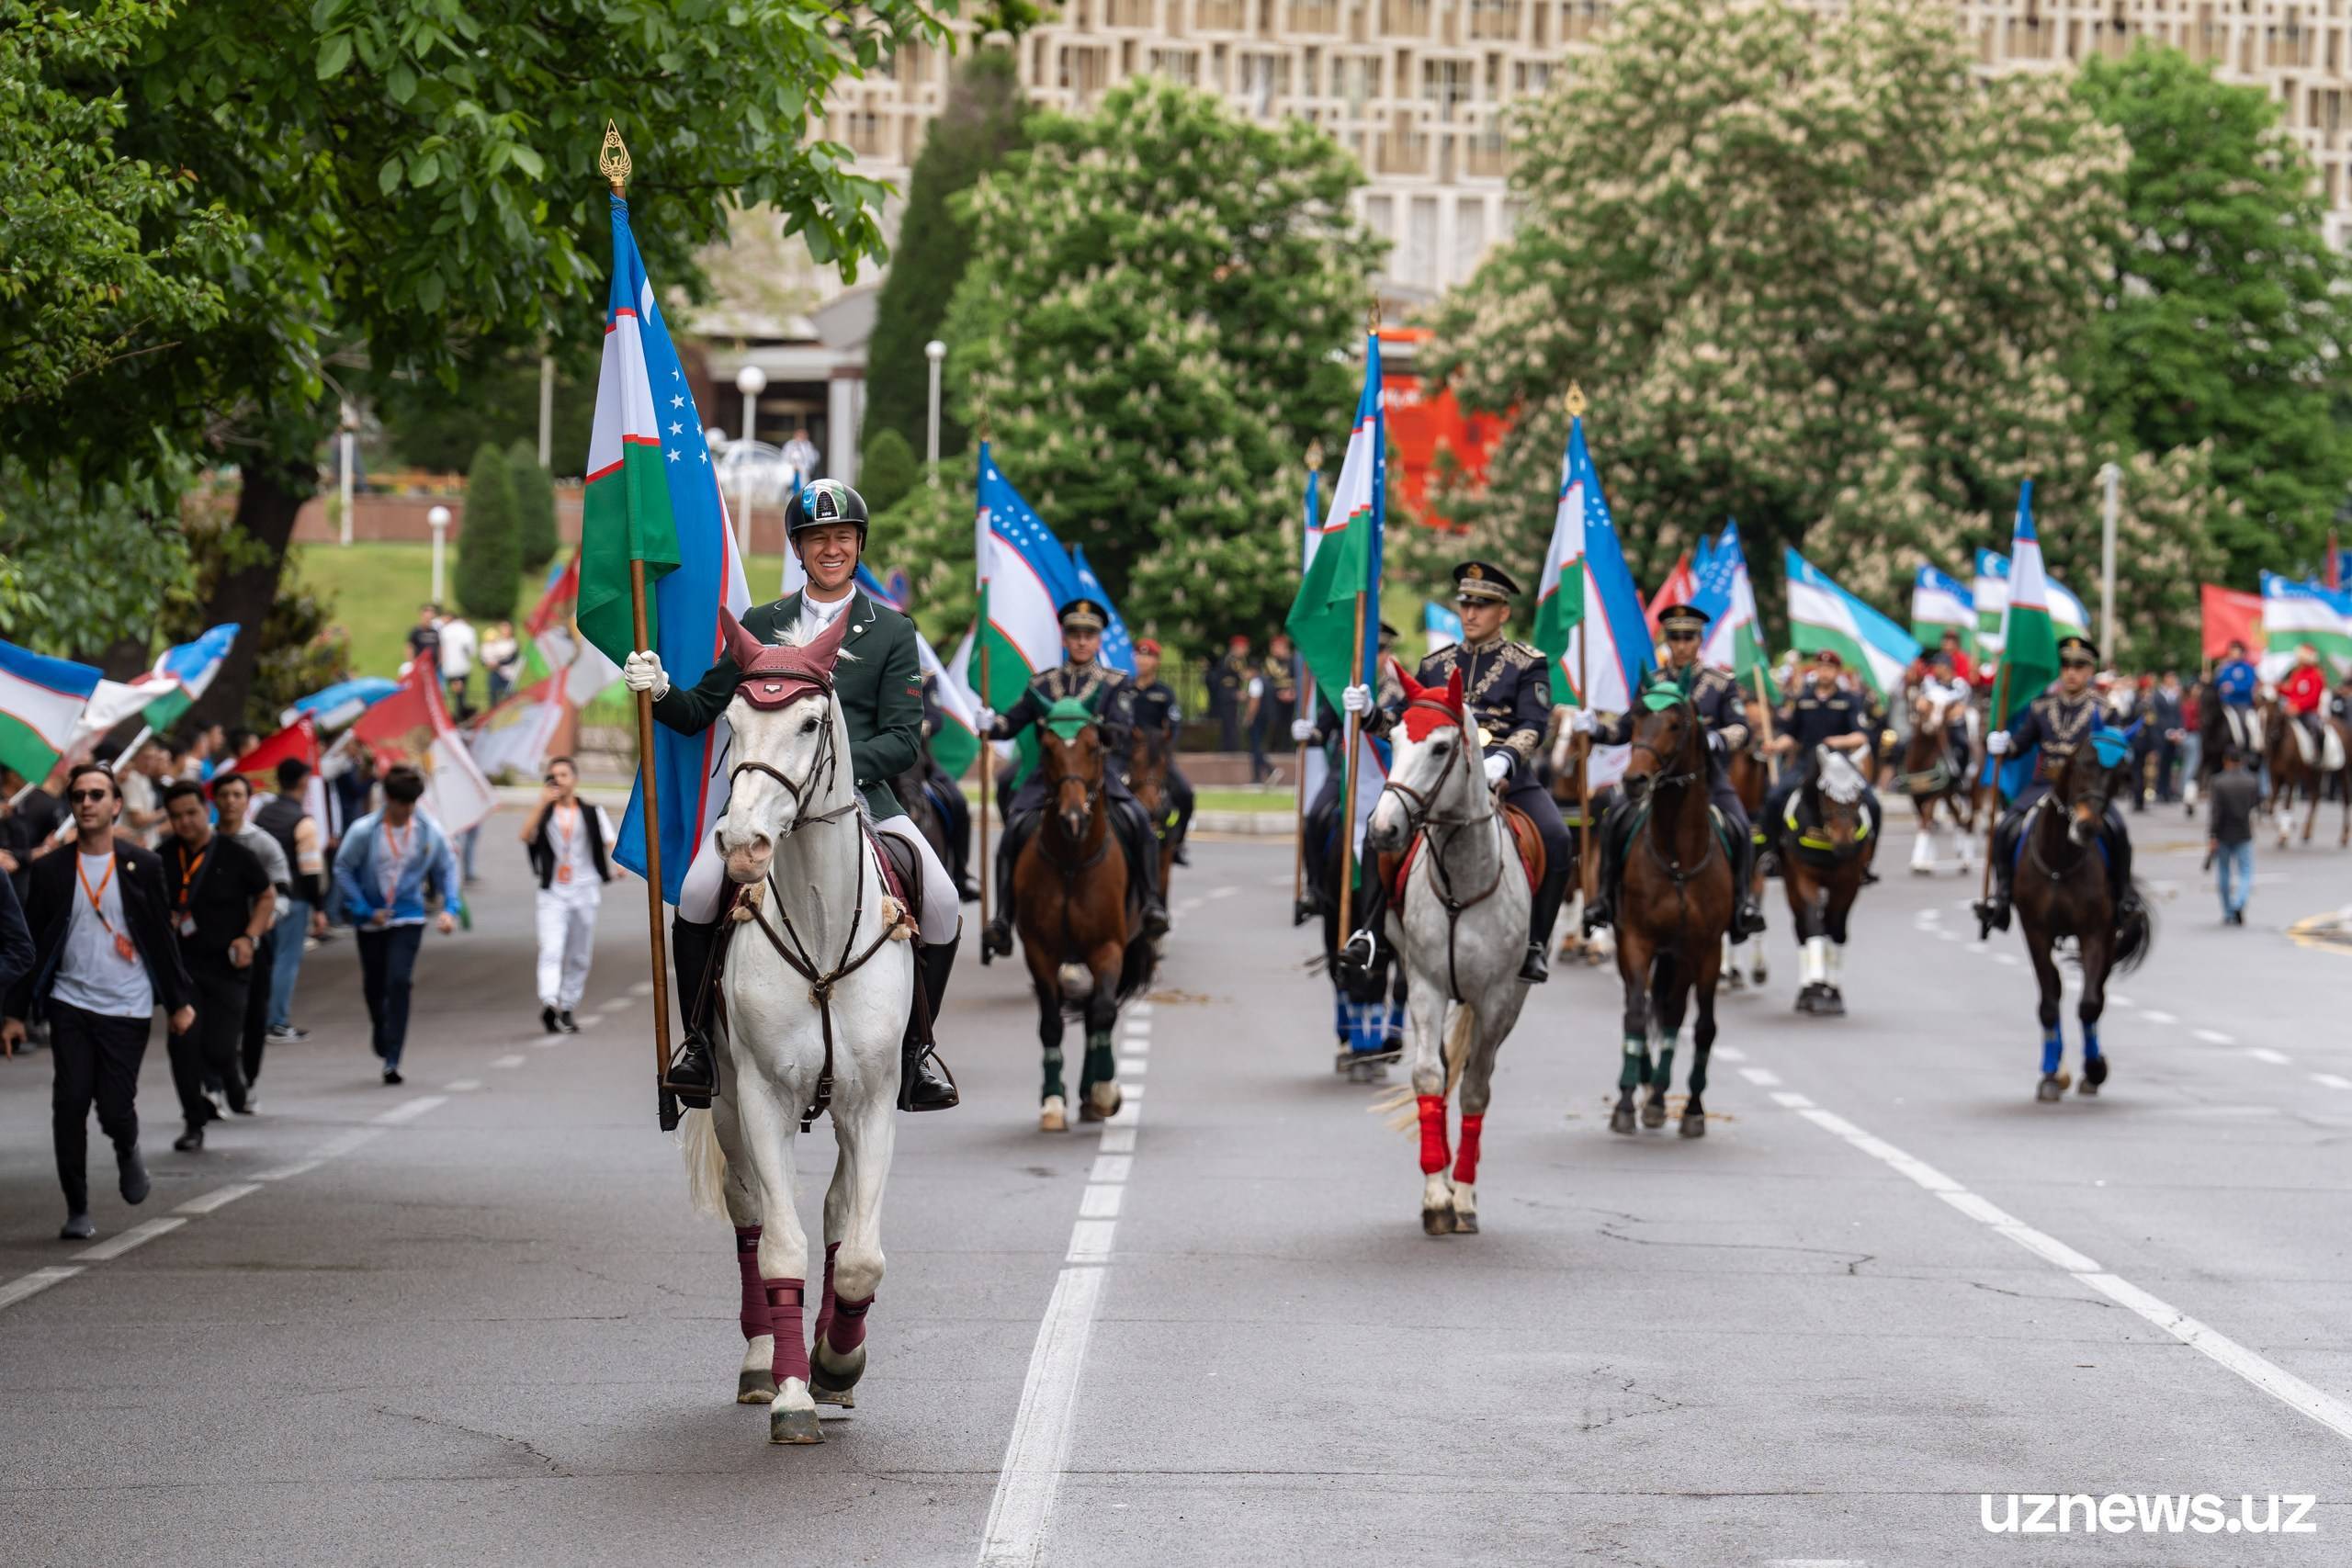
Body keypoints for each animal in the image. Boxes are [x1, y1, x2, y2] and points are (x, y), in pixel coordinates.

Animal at [677, 611, 912, 1448]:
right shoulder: (759, 1098)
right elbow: (781, 1245)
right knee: (749, 1216)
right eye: (732, 721)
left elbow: (862, 1254)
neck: (818, 926)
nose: (743, 844)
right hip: (724, 1107)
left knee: (841, 1213)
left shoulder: (872, 1101)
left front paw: (837, 1361)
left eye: (810, 721)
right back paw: (761, 1360)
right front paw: (790, 1392)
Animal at [1015, 709, 1152, 1128]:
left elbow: (1103, 1012)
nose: (1073, 818)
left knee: (1096, 1013)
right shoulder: (1039, 951)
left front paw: (1106, 1091)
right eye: (1047, 749)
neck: (1072, 862)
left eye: (1094, 747)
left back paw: (1094, 1095)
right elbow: (1051, 1023)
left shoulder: (1108, 947)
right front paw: (1052, 1100)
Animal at [1363, 662, 1543, 1241]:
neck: (1463, 881)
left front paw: (1461, 1196)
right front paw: (1435, 1194)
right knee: (1442, 1072)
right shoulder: (1426, 984)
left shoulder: (1496, 998)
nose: (1383, 829)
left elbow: (1476, 1092)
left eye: (1441, 747)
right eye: (1395, 738)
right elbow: (1428, 1078)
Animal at [1609, 691, 1740, 1133]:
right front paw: (1625, 1101)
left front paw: (1694, 1109)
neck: (1678, 860)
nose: (1634, 780)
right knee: (1645, 1007)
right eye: (1634, 720)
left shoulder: (1706, 950)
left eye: (1676, 724)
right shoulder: (1636, 941)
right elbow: (1634, 1015)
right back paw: (1645, 1084)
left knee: (1673, 1012)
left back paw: (1659, 1094)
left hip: (1681, 958)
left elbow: (1703, 1027)